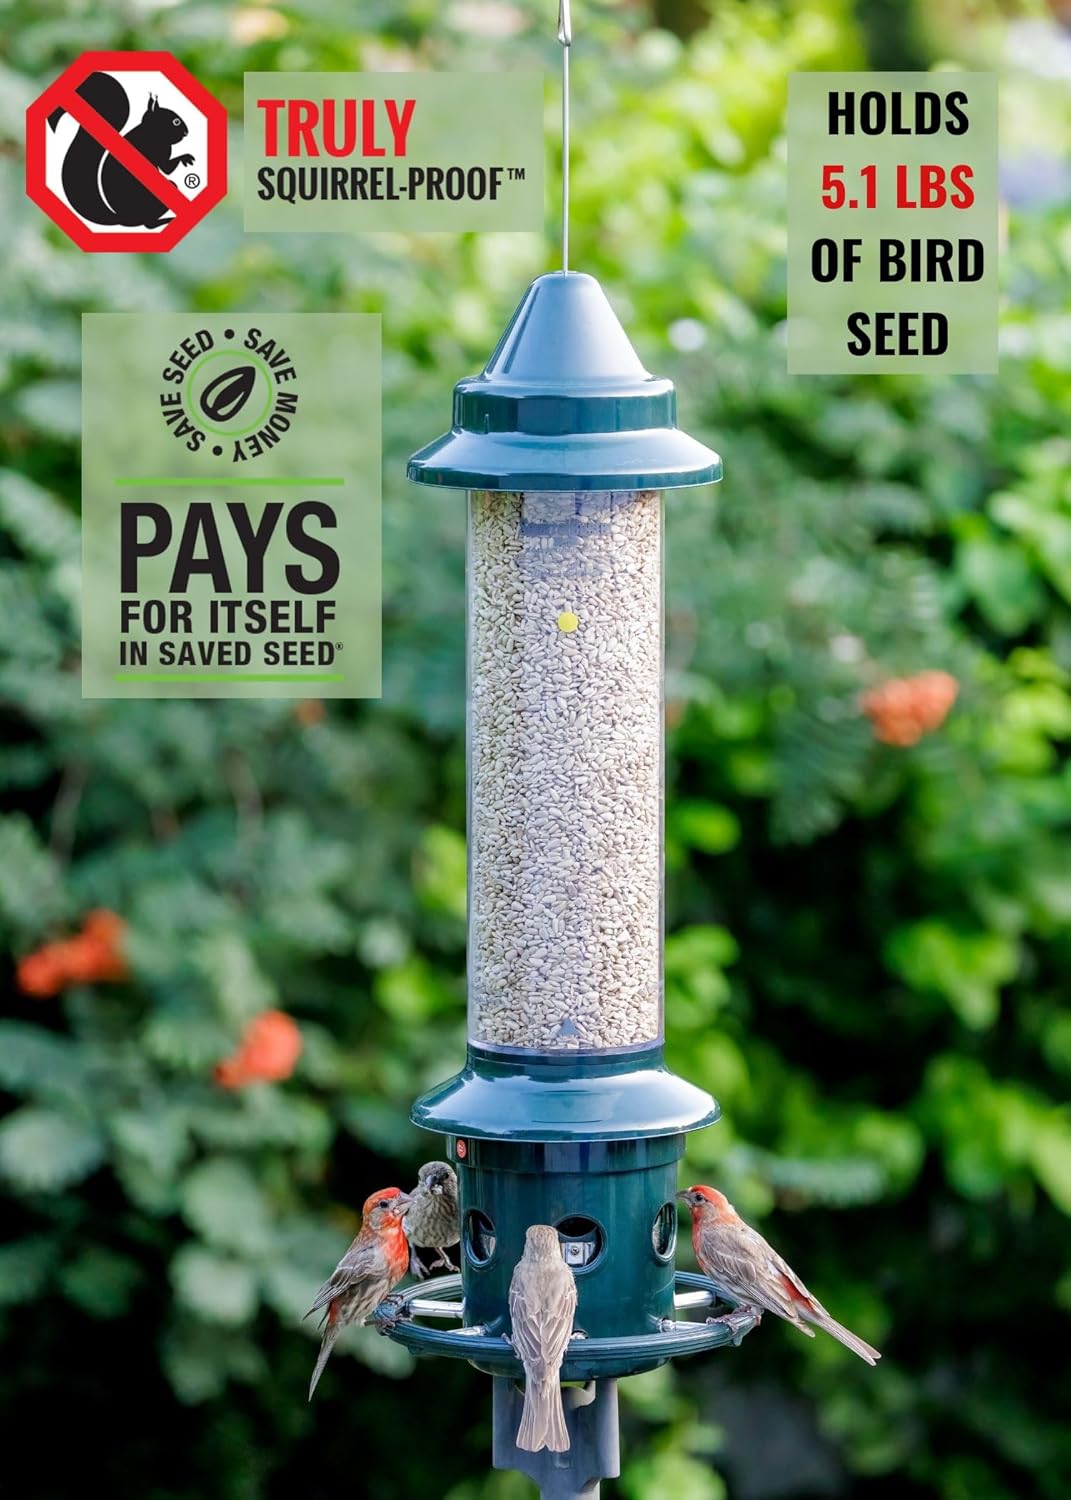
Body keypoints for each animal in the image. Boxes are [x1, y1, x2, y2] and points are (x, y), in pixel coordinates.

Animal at [47, 71, 196, 229]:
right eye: (176, 121)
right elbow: (167, 169)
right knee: (149, 224)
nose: (186, 132)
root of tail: (123, 219)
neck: (151, 131)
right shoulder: (161, 150)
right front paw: (186, 157)